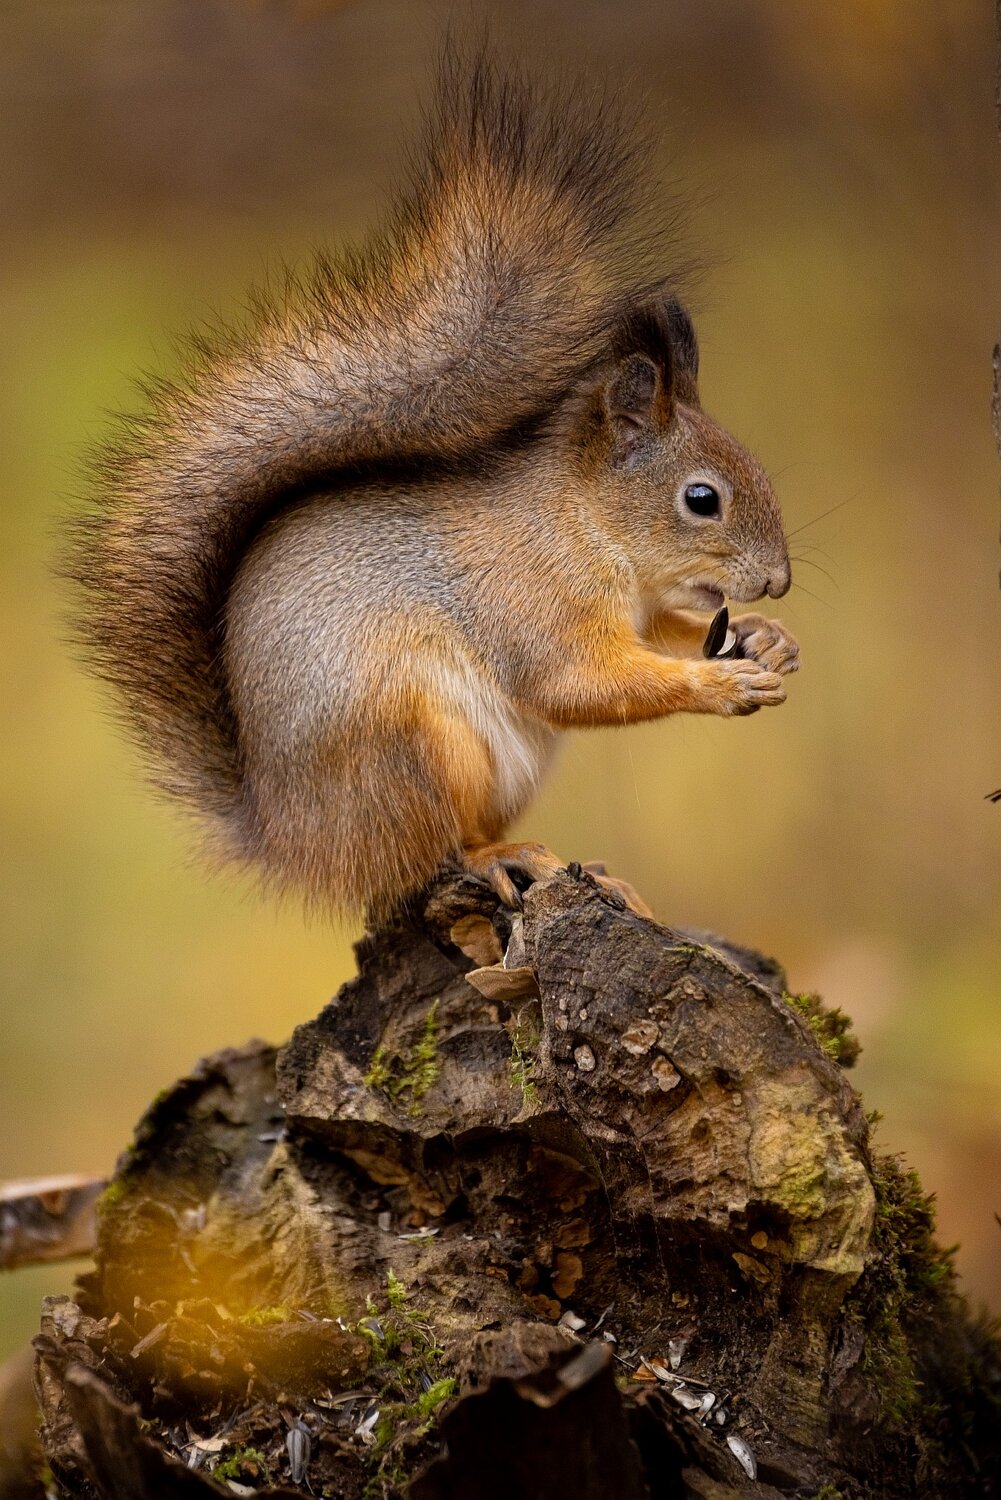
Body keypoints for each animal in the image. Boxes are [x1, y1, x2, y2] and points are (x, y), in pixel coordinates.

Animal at [66, 50, 799, 919]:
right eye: (701, 499)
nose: (779, 582)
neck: (582, 523)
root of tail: (294, 842)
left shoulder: (642, 610)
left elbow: (663, 637)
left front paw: (763, 637)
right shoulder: (533, 600)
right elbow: (580, 683)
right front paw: (715, 683)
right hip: (419, 743)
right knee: (428, 857)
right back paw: (499, 857)